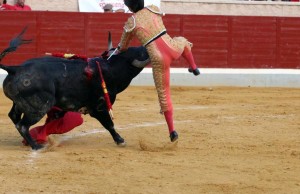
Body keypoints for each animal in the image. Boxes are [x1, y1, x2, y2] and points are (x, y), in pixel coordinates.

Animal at [0, 29, 150, 150]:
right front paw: (120, 141)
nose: (146, 47)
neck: (111, 67)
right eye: (141, 53)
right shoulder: (99, 107)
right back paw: (37, 146)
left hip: (20, 103)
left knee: (14, 116)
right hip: (39, 107)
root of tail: (15, 69)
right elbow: (109, 124)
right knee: (22, 125)